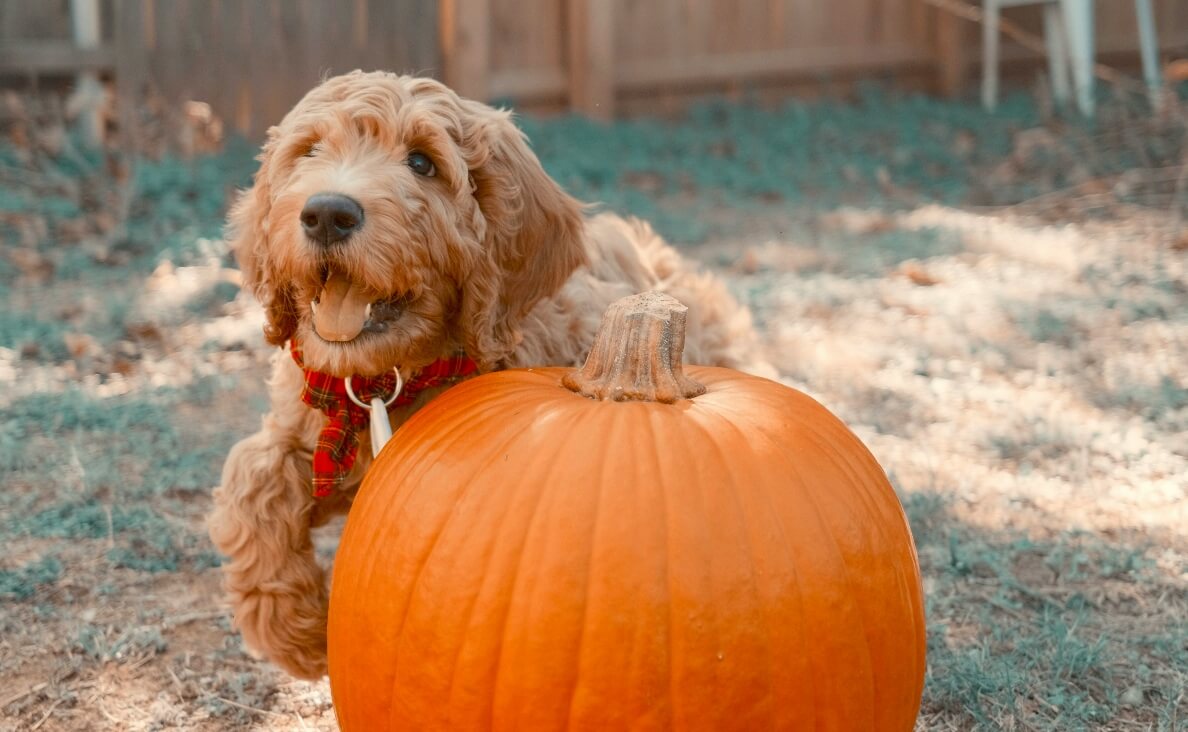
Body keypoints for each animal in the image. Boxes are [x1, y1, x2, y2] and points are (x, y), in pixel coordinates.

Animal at [209, 71, 774, 679]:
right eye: (309, 151)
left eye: (422, 162)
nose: (327, 214)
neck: (390, 379)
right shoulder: (311, 428)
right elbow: (250, 473)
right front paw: (297, 630)